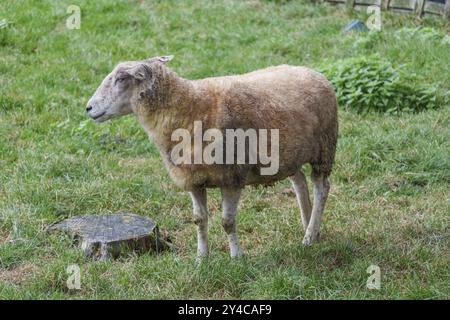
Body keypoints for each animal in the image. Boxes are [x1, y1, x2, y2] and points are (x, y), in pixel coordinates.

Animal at [86, 55, 338, 258]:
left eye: (121, 79)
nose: (88, 108)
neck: (192, 108)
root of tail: (313, 71)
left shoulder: (232, 177)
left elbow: (227, 222)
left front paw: (236, 258)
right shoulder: (193, 179)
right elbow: (199, 220)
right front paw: (202, 258)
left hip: (324, 148)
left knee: (321, 188)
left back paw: (309, 235)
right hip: (290, 155)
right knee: (300, 182)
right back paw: (310, 228)